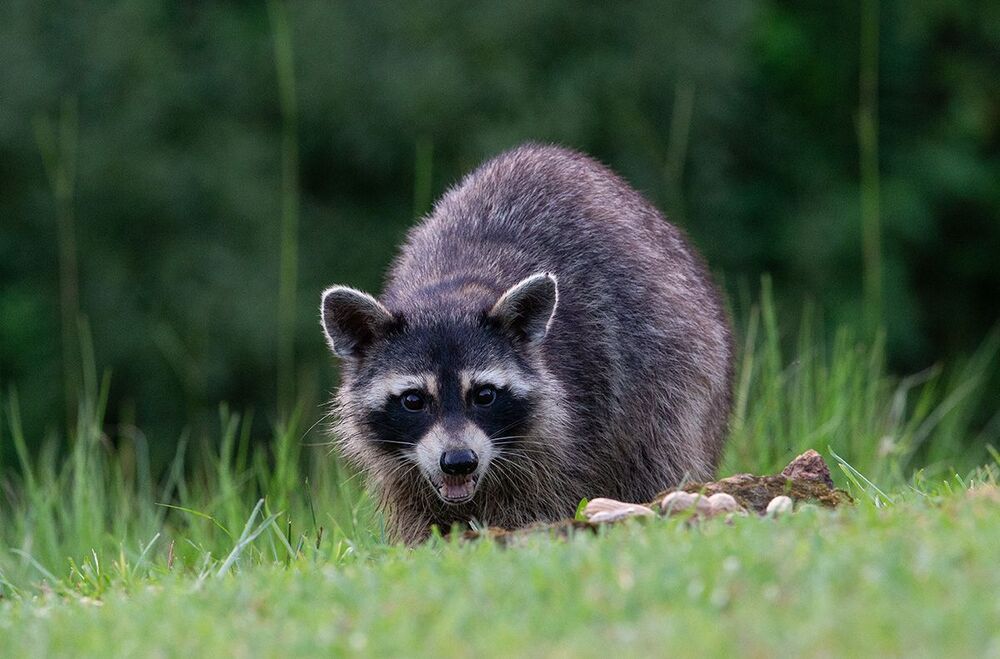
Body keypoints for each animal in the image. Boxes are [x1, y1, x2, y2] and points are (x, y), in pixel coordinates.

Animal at [321, 144, 732, 544]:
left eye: (484, 395)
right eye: (413, 400)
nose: (459, 461)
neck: (451, 290)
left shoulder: (578, 408)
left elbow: (542, 496)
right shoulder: (401, 466)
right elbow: (415, 508)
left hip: (672, 363)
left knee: (657, 446)